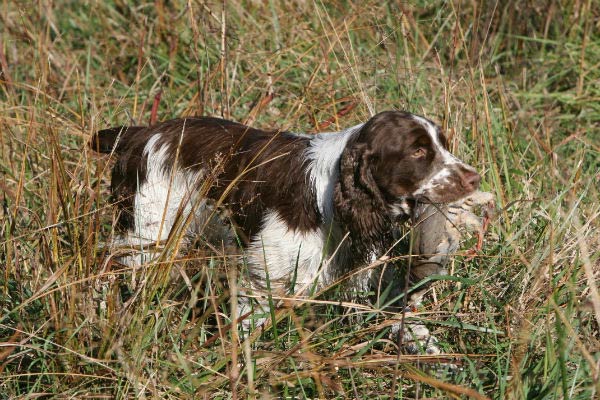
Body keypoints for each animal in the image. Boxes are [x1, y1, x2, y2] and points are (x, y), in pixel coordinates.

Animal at [90, 108, 482, 338]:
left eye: (443, 144)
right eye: (418, 151)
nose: (474, 178)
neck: (331, 197)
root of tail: (141, 133)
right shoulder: (265, 278)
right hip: (148, 235)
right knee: (110, 266)